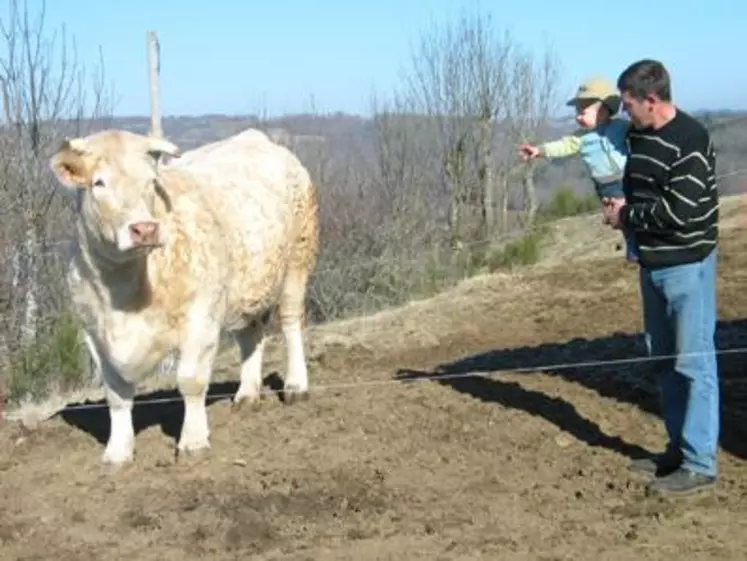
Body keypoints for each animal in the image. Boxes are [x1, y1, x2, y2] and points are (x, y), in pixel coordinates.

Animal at [49, 129, 318, 466]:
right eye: (99, 183)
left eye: (151, 181)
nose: (144, 229)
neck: (124, 292)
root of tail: (257, 138)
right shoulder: (94, 332)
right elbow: (116, 393)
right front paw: (118, 452)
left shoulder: (200, 317)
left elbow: (191, 381)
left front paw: (193, 441)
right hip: (245, 287)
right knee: (251, 335)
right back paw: (247, 394)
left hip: (297, 259)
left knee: (291, 323)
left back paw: (296, 386)